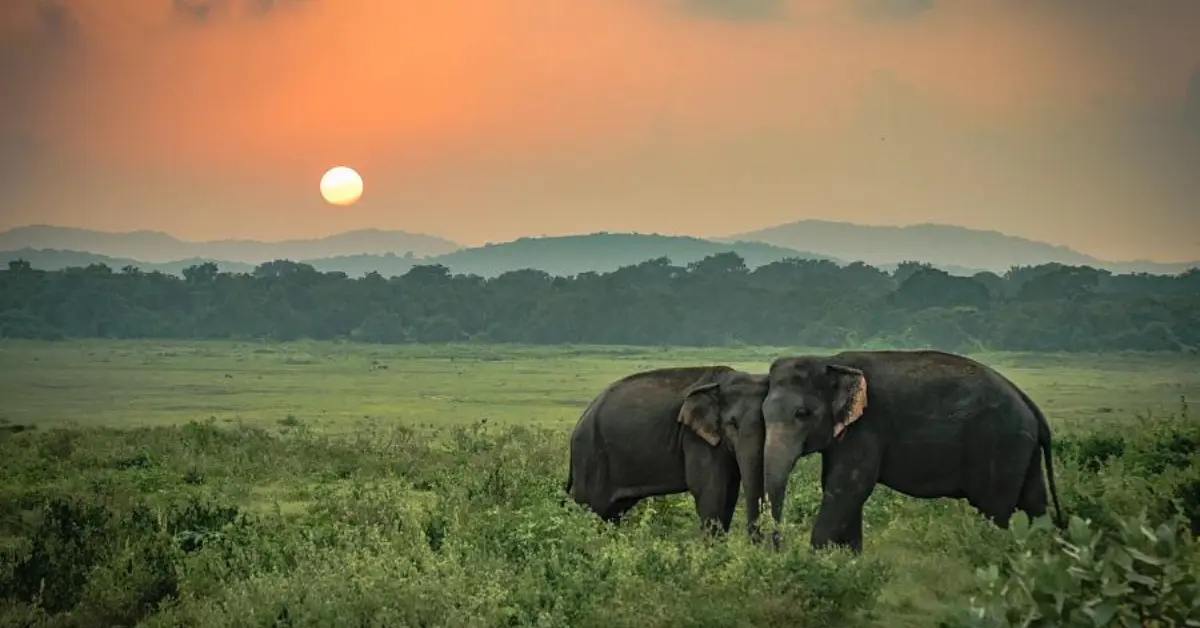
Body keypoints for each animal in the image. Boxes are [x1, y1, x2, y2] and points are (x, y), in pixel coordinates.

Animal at [561, 365, 768, 537]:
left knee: (611, 514)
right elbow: (711, 490)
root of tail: (580, 421)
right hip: (590, 456)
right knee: (590, 507)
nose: (756, 543)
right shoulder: (694, 437)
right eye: (732, 424)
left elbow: (729, 492)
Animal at [763, 350, 1065, 552]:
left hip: (1001, 444)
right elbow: (839, 487)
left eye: (802, 414)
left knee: (995, 509)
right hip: (1021, 448)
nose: (778, 546)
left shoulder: (867, 426)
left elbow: (848, 487)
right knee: (1034, 502)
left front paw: (817, 558)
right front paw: (848, 560)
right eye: (763, 413)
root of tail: (1028, 402)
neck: (831, 361)